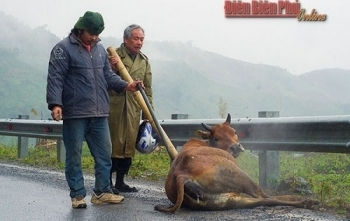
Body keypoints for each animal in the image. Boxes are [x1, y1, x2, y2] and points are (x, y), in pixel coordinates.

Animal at [154, 113, 318, 213]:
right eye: (216, 138)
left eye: (234, 131)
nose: (236, 147)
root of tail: (180, 174)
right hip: (237, 175)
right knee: (263, 195)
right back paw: (301, 200)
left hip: (230, 199)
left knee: (262, 200)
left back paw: (305, 202)